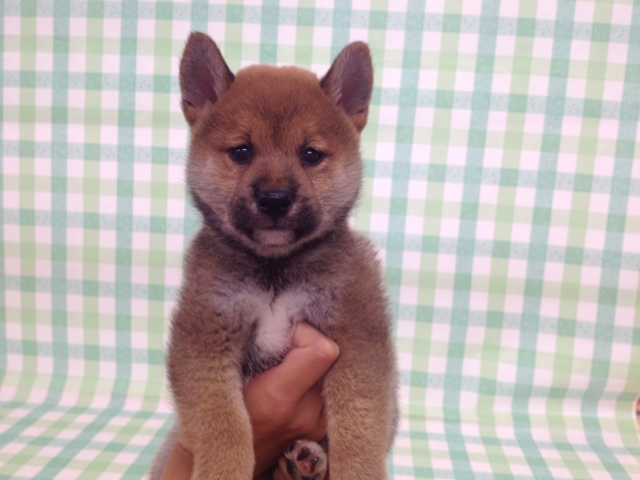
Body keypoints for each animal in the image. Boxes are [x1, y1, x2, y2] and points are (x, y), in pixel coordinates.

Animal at [152, 31, 398, 478]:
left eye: (311, 155)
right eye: (242, 152)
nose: (274, 198)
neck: (274, 270)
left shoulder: (357, 332)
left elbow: (358, 428)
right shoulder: (206, 336)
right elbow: (223, 428)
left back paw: (306, 459)